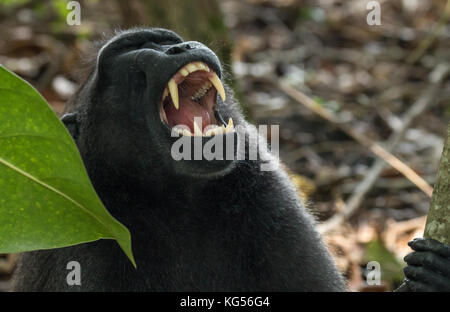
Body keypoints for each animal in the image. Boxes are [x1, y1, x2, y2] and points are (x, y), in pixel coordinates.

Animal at [11, 28, 450, 292]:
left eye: (167, 40)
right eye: (134, 49)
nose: (180, 47)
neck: (175, 203)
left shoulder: (268, 197)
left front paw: (438, 276)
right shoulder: (87, 243)